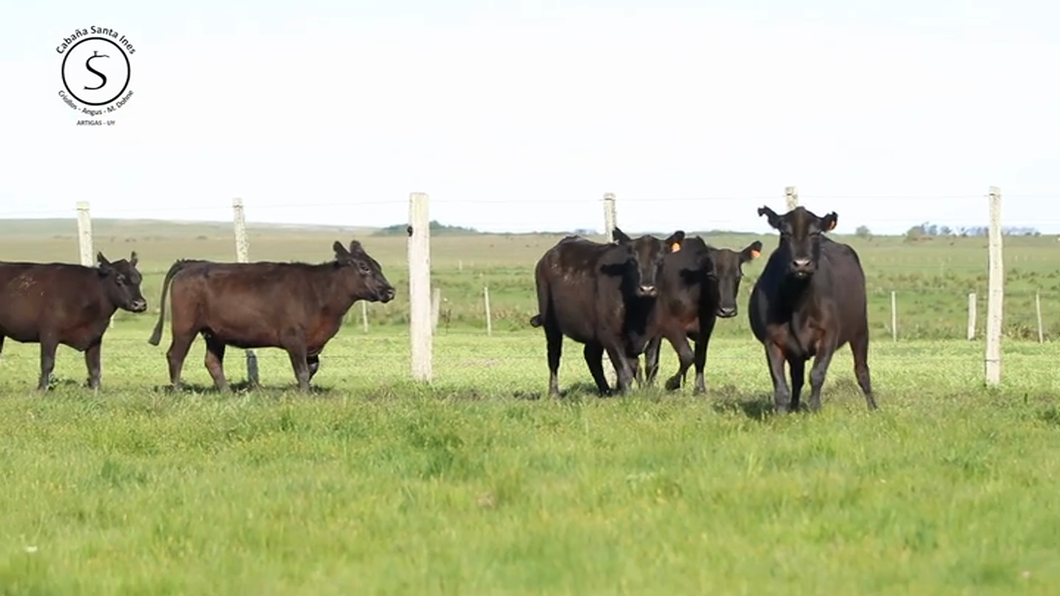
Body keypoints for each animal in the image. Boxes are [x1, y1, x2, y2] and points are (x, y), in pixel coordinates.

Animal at [0, 250, 149, 390]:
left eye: (139, 279)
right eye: (119, 279)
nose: (140, 304)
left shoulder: (95, 337)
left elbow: (95, 367)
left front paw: (96, 391)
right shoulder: (49, 334)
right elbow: (47, 363)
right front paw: (42, 390)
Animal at [147, 238, 396, 392]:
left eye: (378, 266)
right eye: (364, 267)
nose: (390, 291)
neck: (320, 292)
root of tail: (192, 264)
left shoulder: (313, 343)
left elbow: (311, 369)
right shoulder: (294, 338)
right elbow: (302, 371)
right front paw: (304, 395)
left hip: (214, 333)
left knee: (213, 362)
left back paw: (227, 393)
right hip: (185, 326)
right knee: (175, 356)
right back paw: (178, 391)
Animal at [525, 224, 682, 396]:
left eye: (661, 260)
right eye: (632, 261)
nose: (647, 289)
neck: (641, 311)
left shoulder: (656, 334)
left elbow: (651, 366)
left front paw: (648, 391)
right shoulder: (609, 333)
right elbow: (625, 370)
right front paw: (628, 395)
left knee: (591, 356)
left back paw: (606, 391)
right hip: (550, 322)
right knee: (554, 356)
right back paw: (554, 393)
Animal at [635, 234, 763, 392]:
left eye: (738, 276)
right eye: (712, 275)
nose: (727, 310)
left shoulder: (706, 326)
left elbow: (700, 358)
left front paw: (699, 389)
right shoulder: (670, 325)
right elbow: (686, 356)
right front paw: (672, 383)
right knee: (651, 358)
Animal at [746, 206, 877, 411]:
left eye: (815, 233)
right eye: (785, 232)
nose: (801, 263)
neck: (797, 305)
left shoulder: (829, 334)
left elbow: (817, 374)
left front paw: (814, 408)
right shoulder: (773, 341)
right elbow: (781, 386)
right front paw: (782, 413)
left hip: (860, 329)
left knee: (862, 370)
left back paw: (872, 407)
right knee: (796, 378)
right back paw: (794, 407)